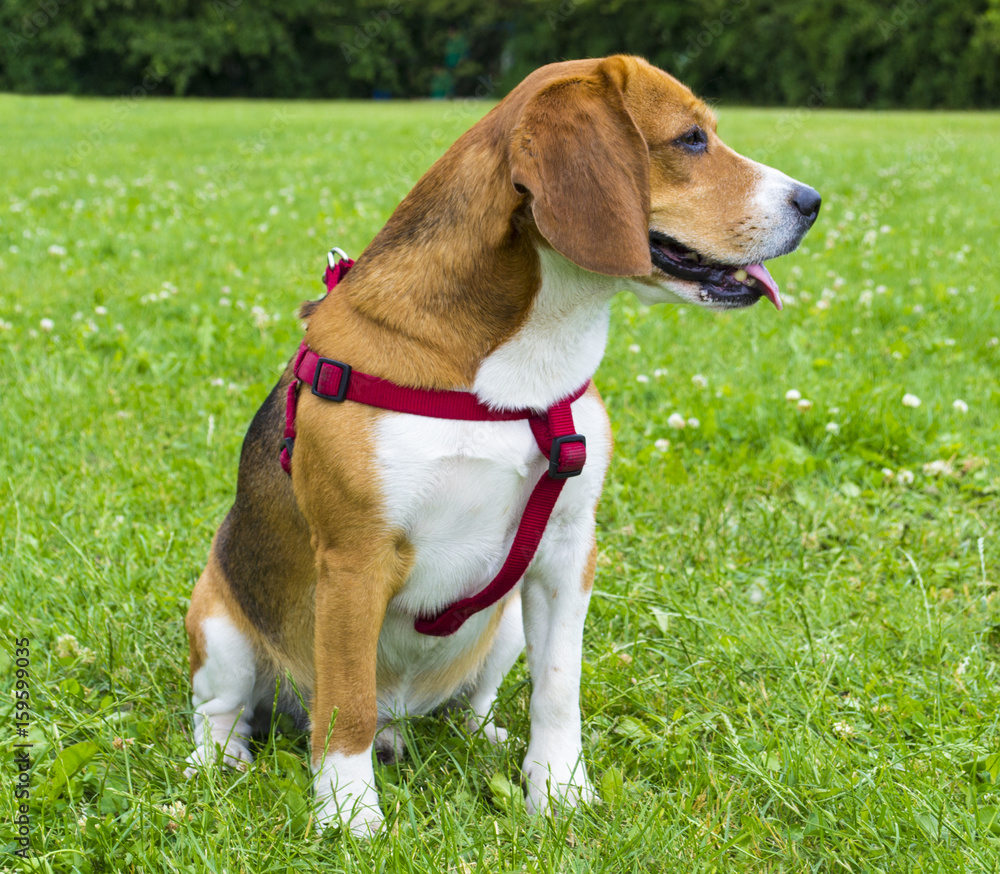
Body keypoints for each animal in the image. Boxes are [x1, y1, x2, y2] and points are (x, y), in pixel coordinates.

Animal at [186, 52, 820, 832]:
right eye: (692, 139)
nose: (812, 201)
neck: (519, 365)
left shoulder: (566, 552)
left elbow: (558, 689)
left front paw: (559, 790)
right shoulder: (354, 563)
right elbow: (345, 705)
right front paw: (349, 817)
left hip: (507, 624)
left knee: (463, 702)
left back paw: (476, 734)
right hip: (219, 623)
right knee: (228, 709)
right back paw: (219, 760)